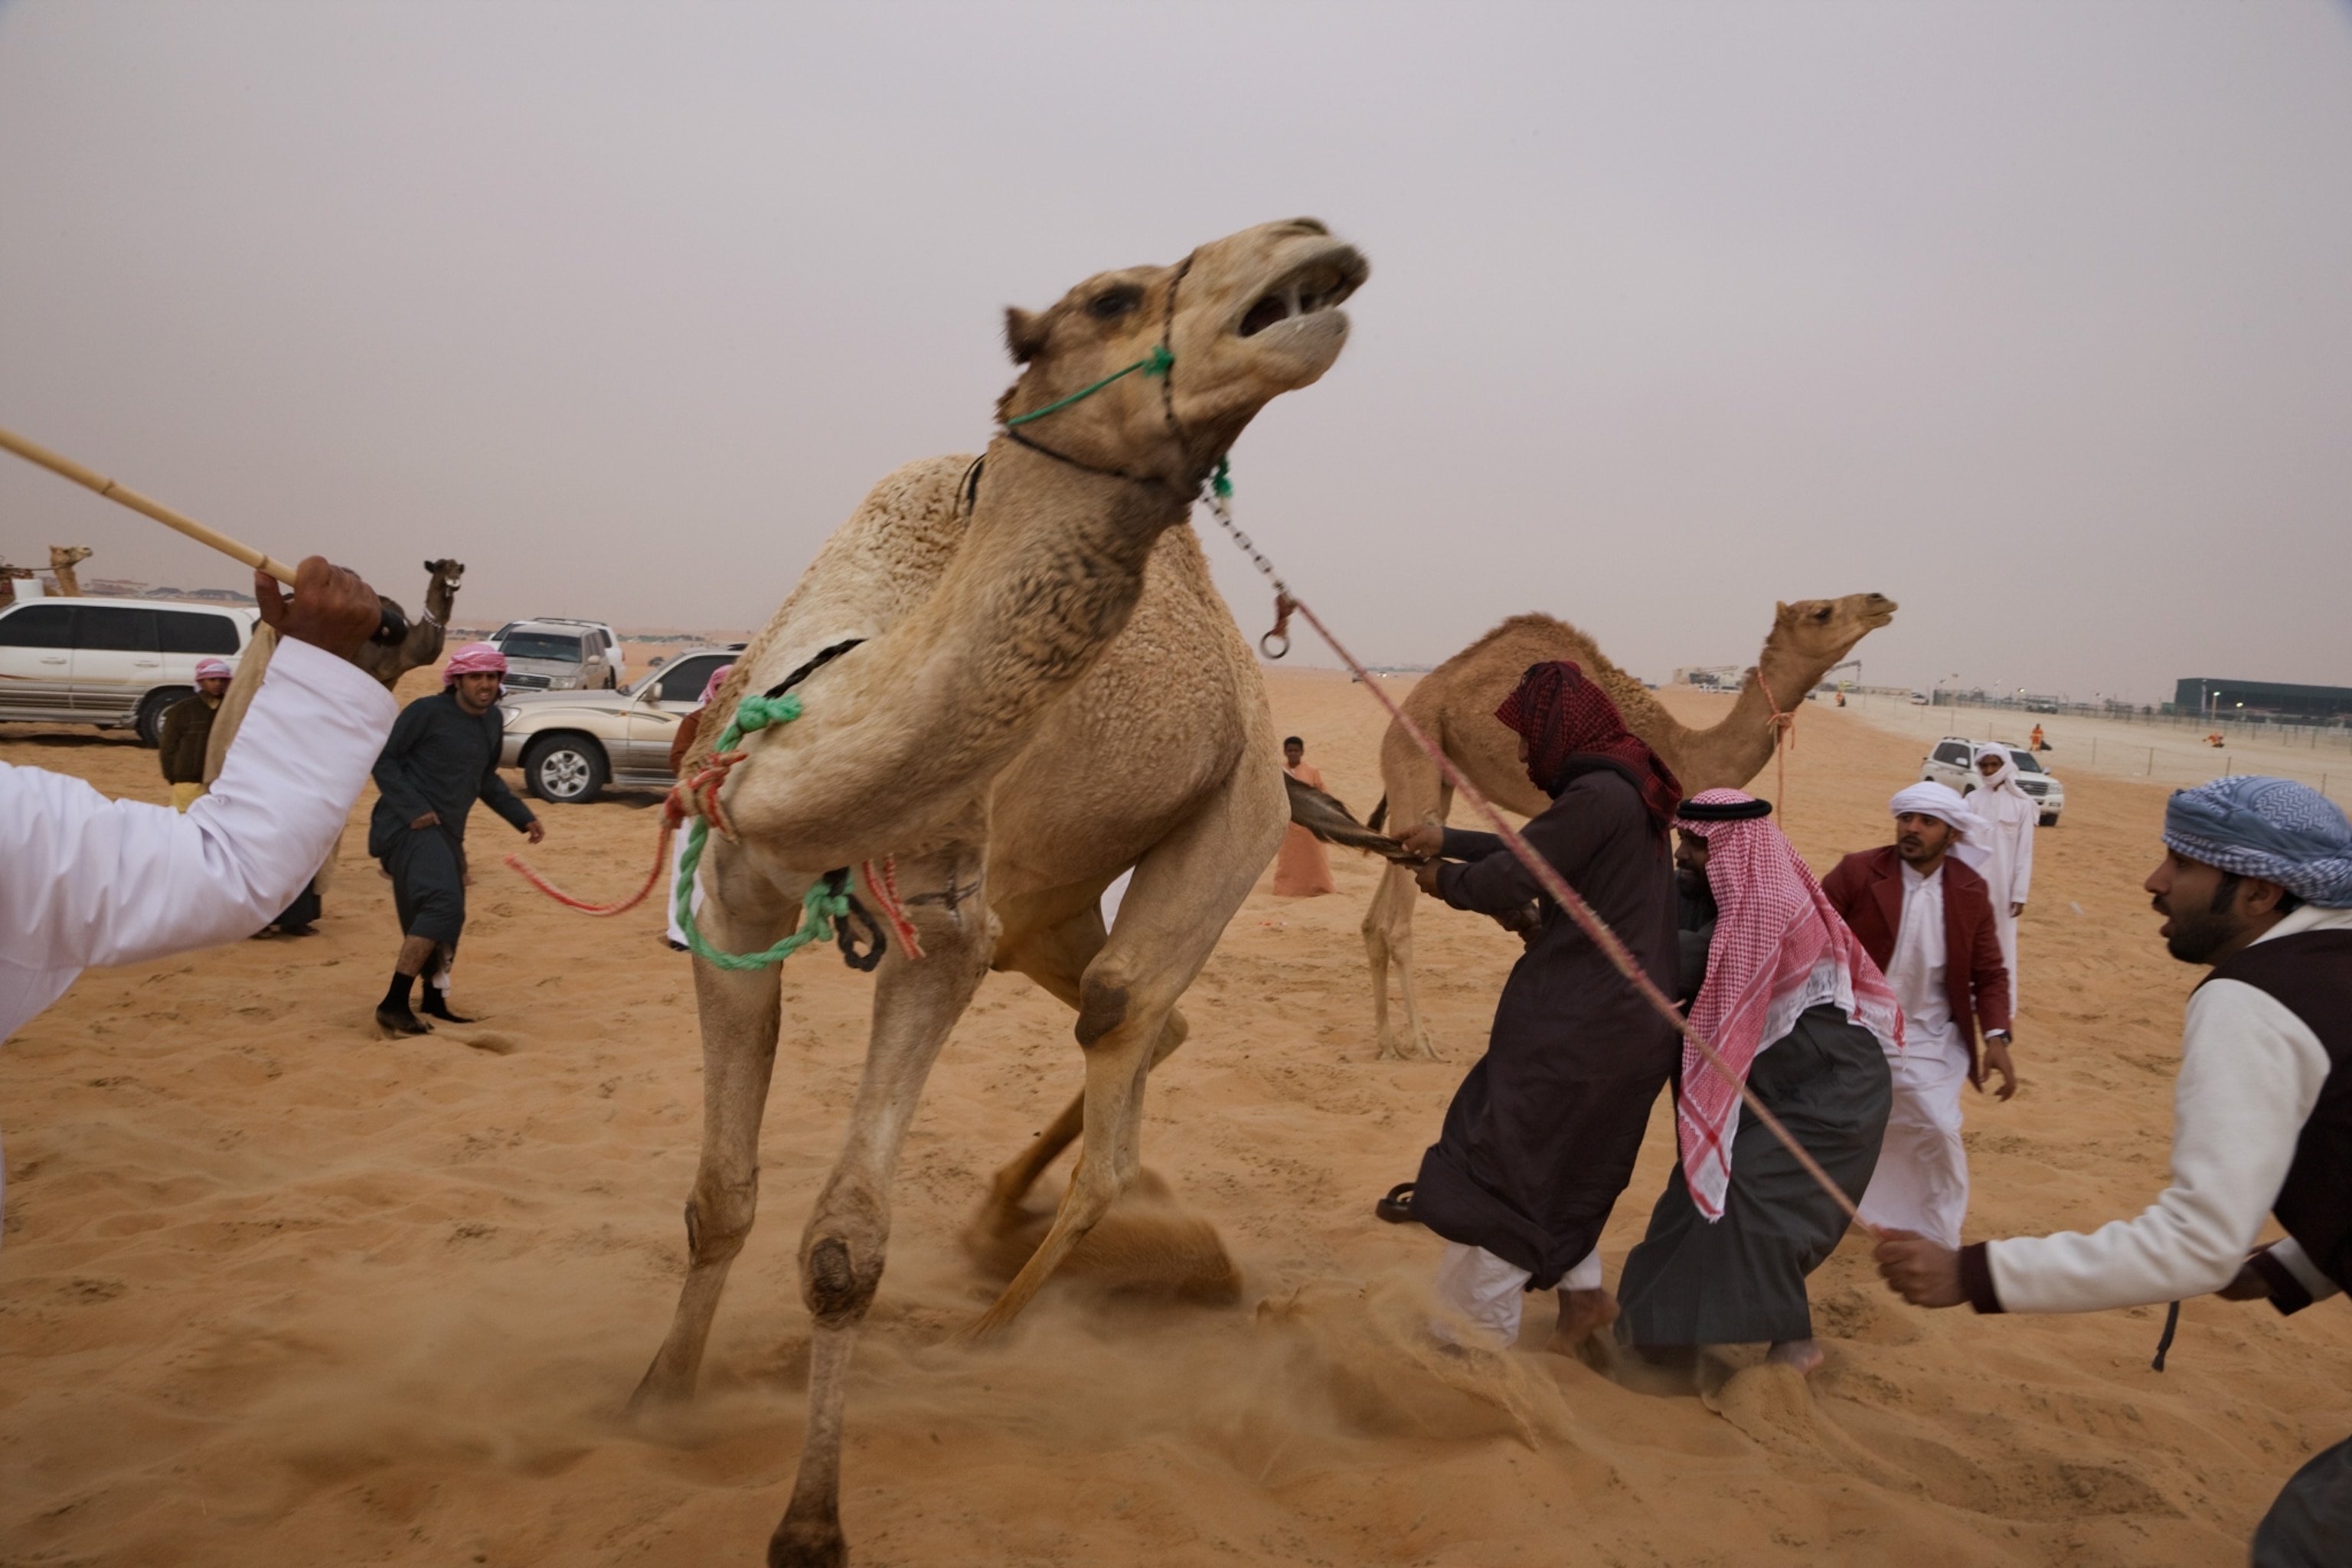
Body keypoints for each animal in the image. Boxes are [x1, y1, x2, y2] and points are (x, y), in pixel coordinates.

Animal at [625, 218, 1367, 1568]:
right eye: (1116, 297)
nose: (1310, 247)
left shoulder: (943, 932)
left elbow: (844, 1243)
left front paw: (811, 1523)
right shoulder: (736, 908)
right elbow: (719, 1197)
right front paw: (660, 1400)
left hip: (1241, 814)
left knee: (1126, 1037)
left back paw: (993, 1331)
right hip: (1054, 898)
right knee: (1149, 1015)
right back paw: (994, 1222)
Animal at [1362, 595, 1896, 1060]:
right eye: (1822, 612)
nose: (1880, 600)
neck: (1682, 751)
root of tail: (1413, 703)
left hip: (1433, 775)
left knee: (1383, 900)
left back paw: (1386, 1041)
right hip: (1414, 748)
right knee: (1397, 924)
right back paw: (1419, 1042)